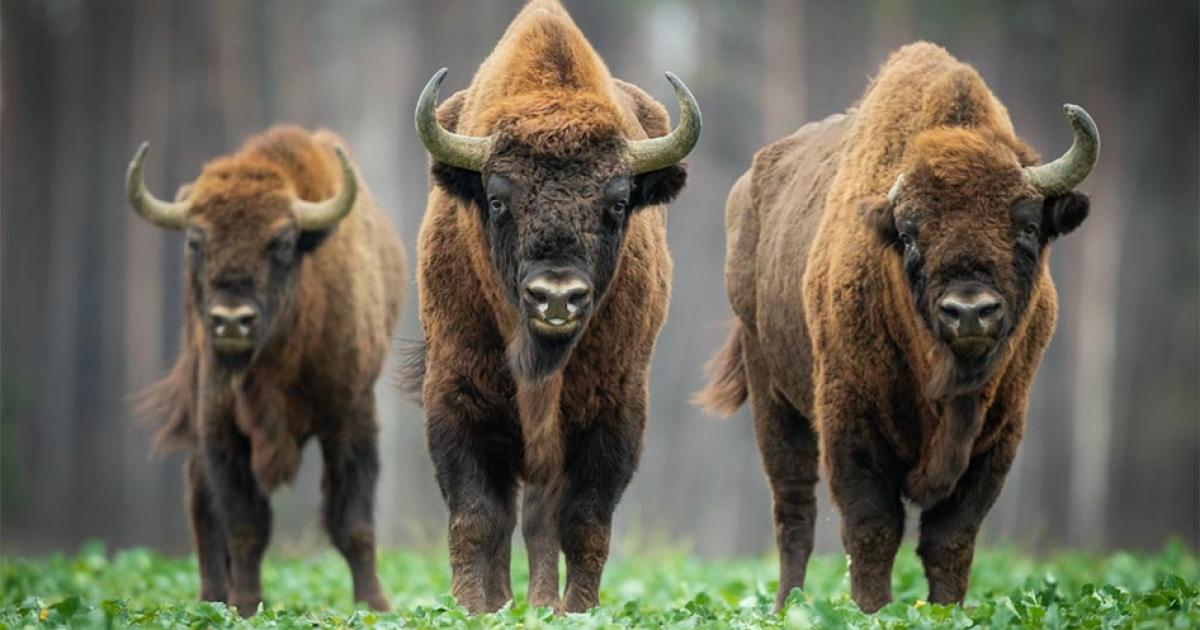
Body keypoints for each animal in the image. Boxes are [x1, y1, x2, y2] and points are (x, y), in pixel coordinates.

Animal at [128, 127, 405, 616]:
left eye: (281, 243)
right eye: (195, 241)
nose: (231, 321)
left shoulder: (352, 416)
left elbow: (353, 522)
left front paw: (375, 606)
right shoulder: (221, 426)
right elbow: (244, 524)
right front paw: (245, 604)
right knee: (202, 506)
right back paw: (211, 597)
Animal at [407, 0, 700, 613]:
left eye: (618, 202)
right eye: (498, 199)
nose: (557, 296)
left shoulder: (615, 410)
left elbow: (584, 523)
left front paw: (576, 611)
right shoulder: (455, 397)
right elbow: (475, 518)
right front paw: (473, 610)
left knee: (541, 520)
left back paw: (542, 603)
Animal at [697, 42, 1097, 612]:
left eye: (1026, 226)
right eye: (910, 234)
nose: (969, 310)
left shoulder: (999, 436)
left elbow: (951, 538)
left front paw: (947, 612)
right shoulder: (851, 424)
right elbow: (873, 529)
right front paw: (874, 611)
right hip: (772, 395)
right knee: (794, 511)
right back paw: (787, 607)